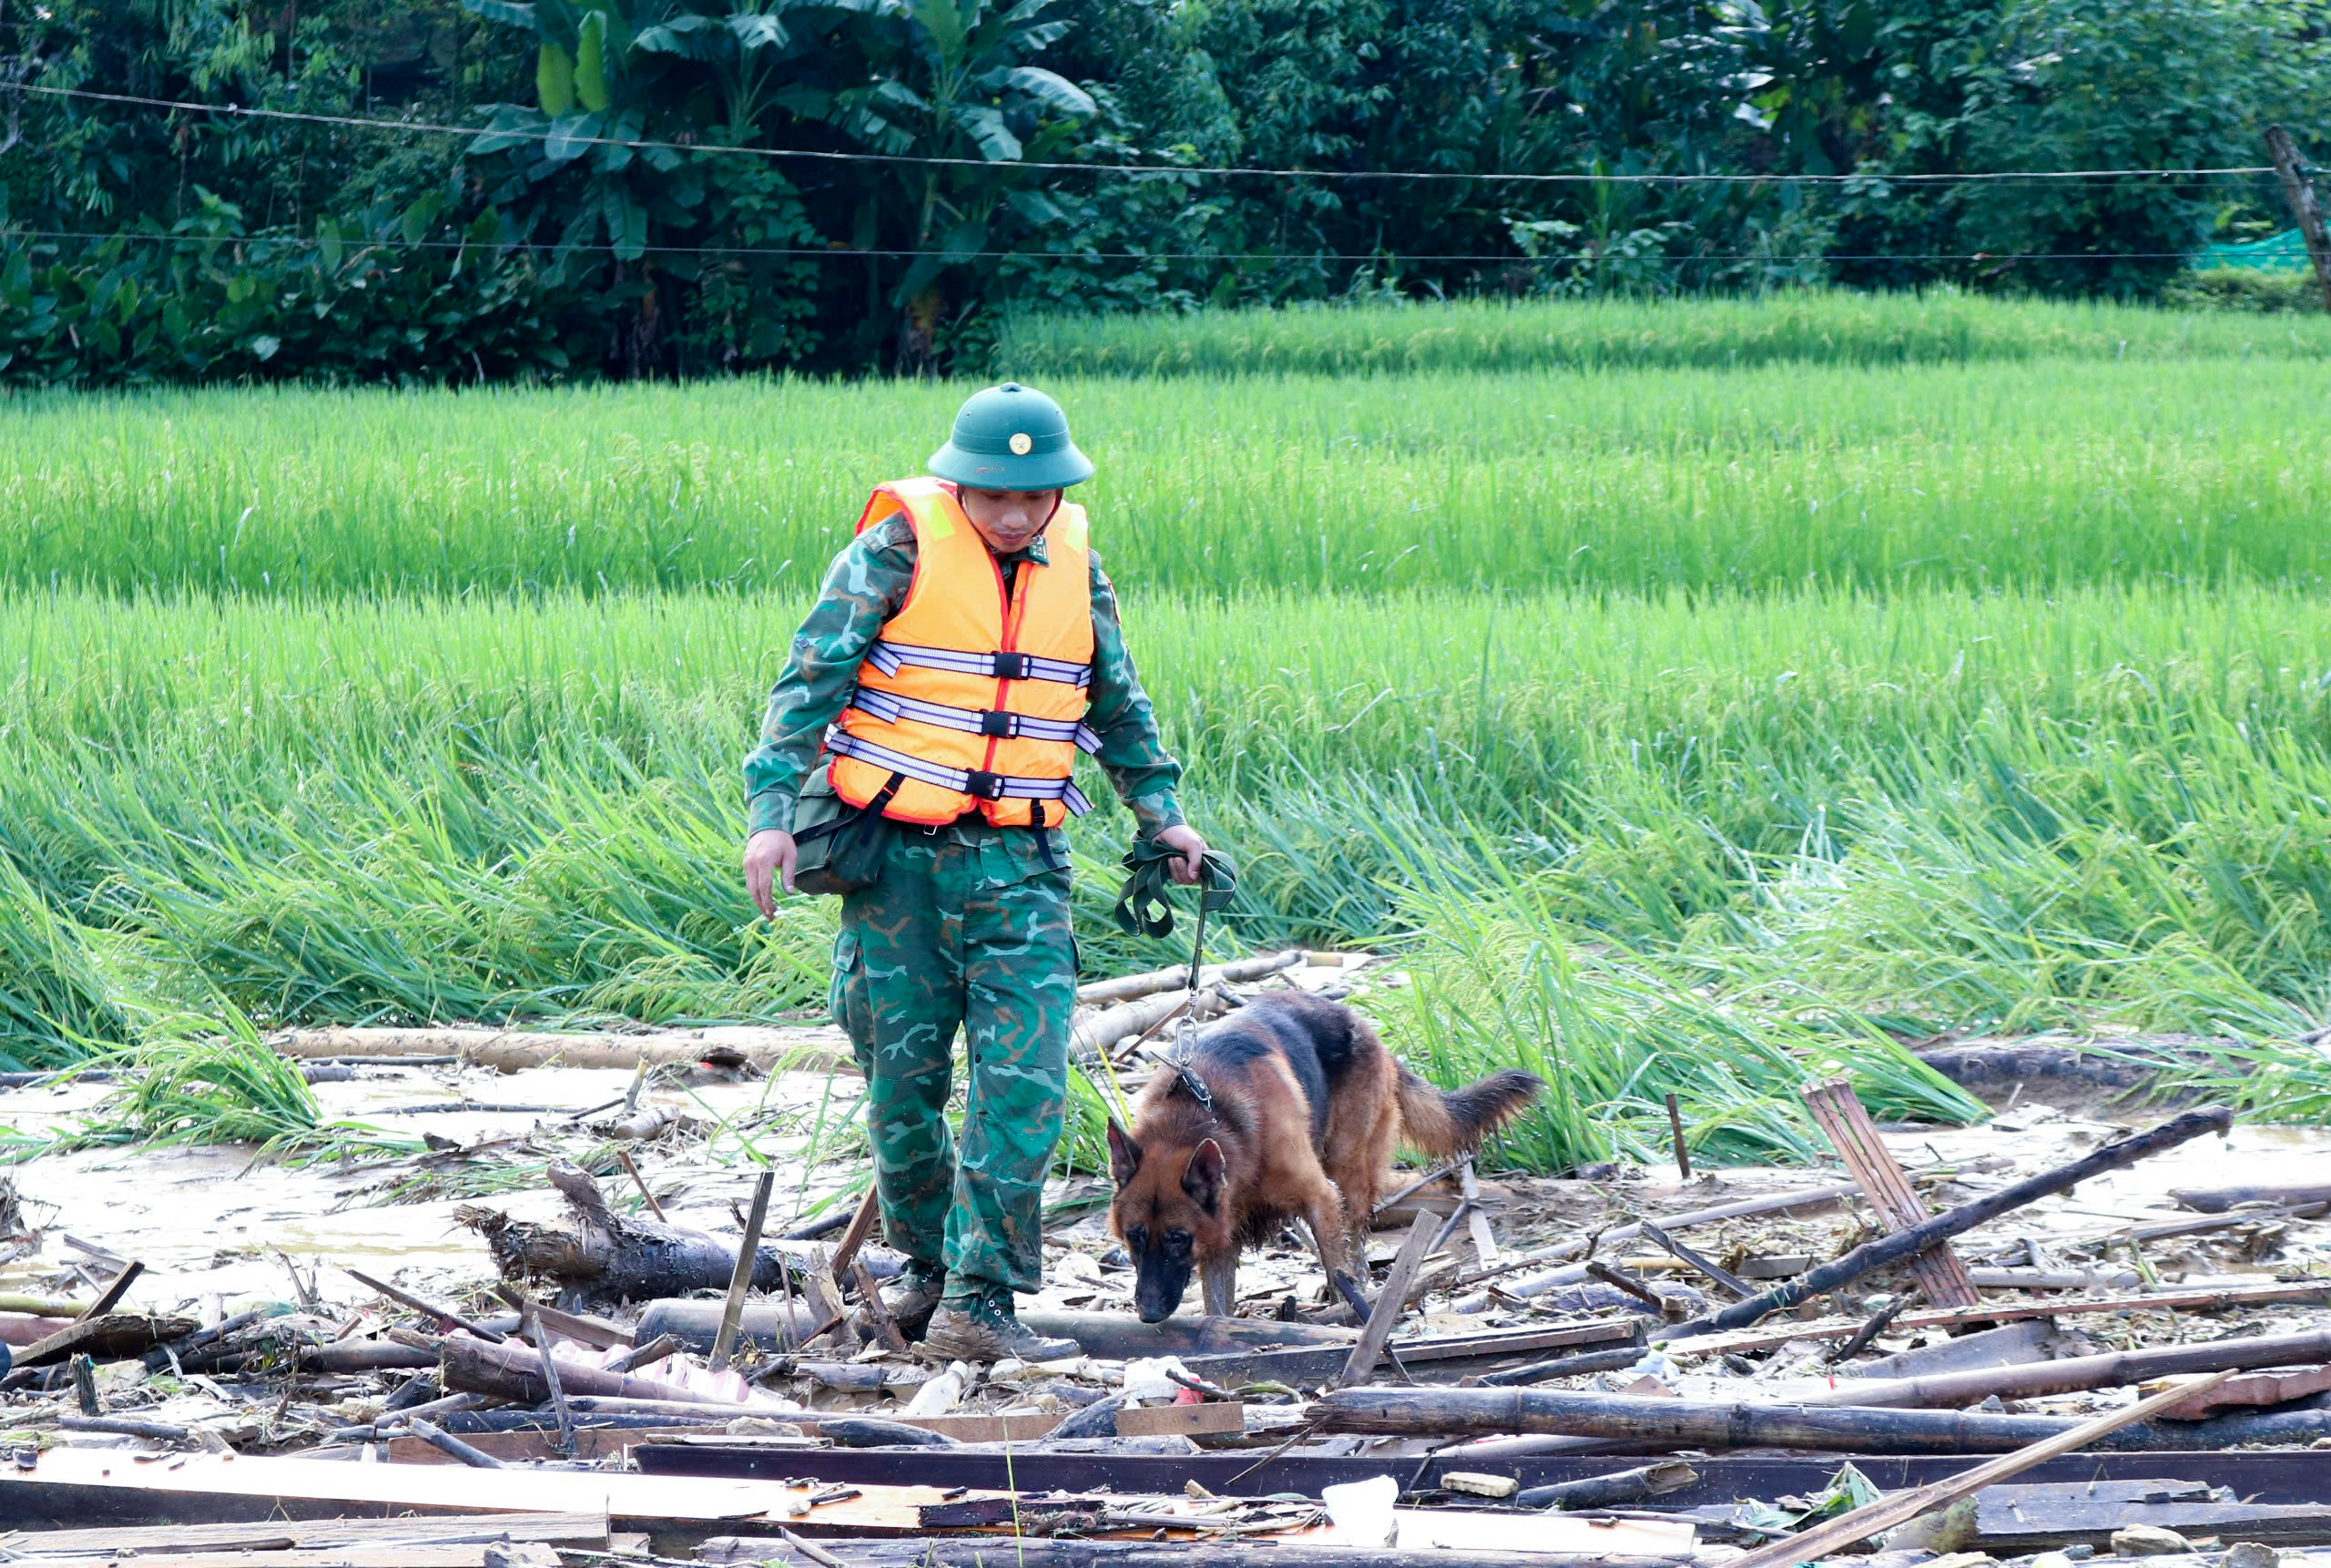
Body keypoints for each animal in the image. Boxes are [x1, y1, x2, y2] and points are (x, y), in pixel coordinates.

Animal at [1100, 993, 1538, 1323]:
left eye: (1177, 1239)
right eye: (1135, 1237)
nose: (1149, 1315)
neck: (1202, 1114)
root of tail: (1363, 1027)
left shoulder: (1320, 1199)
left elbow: (1337, 1267)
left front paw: (1344, 1312)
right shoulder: (1221, 1233)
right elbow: (1217, 1307)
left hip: (1349, 1173)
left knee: (1356, 1247)